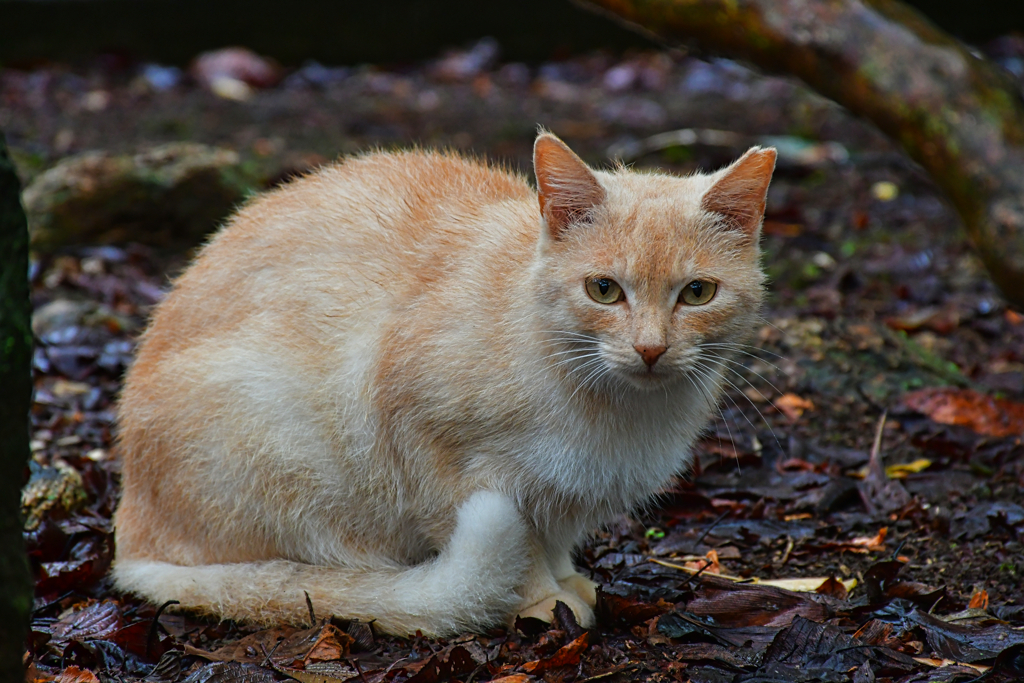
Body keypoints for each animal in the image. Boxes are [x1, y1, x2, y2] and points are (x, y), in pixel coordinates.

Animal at [112, 132, 770, 634]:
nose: (651, 349)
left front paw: (567, 581)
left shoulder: (565, 495)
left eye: (697, 293)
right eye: (603, 289)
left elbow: (551, 537)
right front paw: (541, 600)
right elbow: (517, 544)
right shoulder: (425, 445)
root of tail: (128, 530)